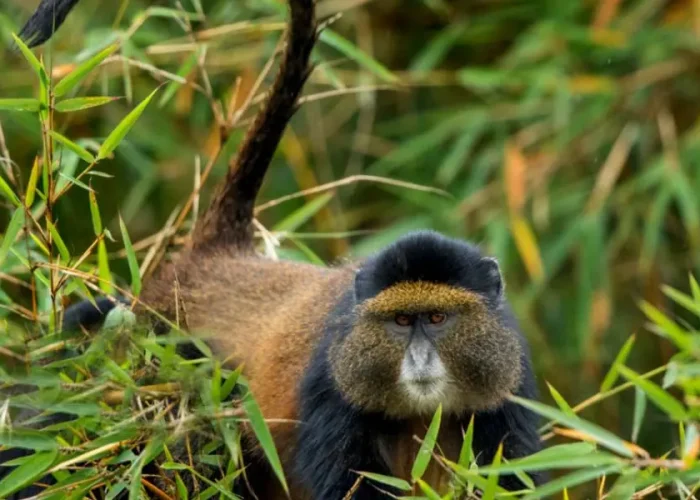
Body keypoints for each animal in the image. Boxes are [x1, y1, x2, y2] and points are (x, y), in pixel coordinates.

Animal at [1, 0, 547, 498]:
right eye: (399, 321)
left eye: (436, 318)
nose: (418, 359)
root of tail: (217, 257)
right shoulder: (329, 386)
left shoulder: (510, 381)